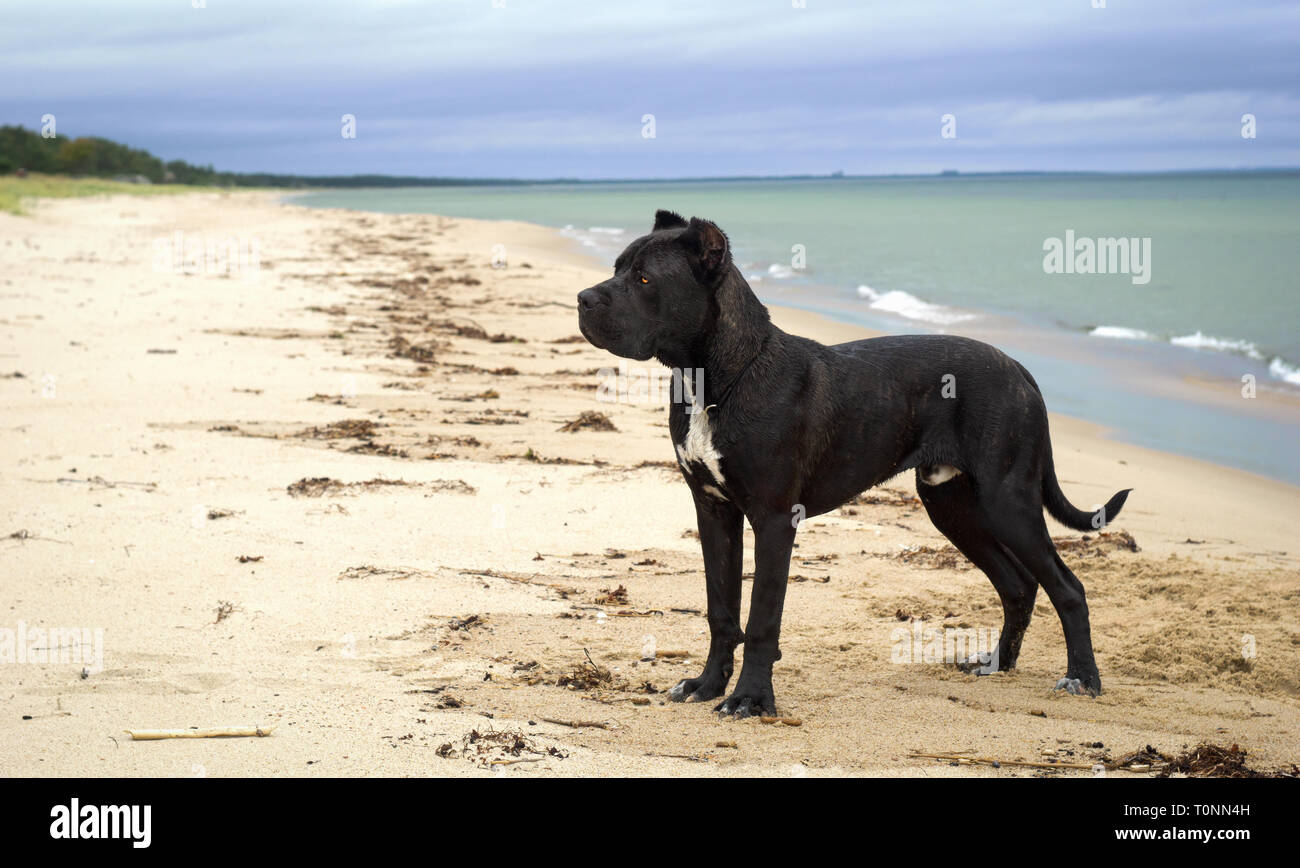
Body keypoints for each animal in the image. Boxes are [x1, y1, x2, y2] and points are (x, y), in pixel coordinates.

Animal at [577, 211, 1128, 717]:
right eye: (616, 267)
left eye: (644, 279)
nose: (583, 298)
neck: (718, 375)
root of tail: (1020, 370)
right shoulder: (714, 511)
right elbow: (722, 610)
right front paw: (707, 685)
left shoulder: (773, 519)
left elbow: (761, 619)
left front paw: (751, 699)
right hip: (952, 504)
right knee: (1018, 585)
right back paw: (997, 664)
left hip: (1007, 500)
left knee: (1068, 587)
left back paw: (1082, 679)